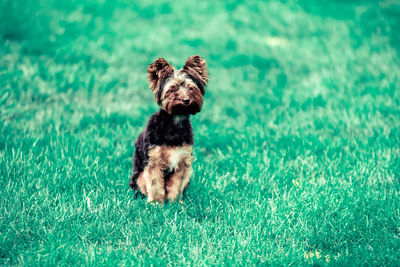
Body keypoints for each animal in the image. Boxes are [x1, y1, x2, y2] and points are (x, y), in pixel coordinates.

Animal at [129, 56, 209, 203]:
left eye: (190, 88)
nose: (186, 100)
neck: (174, 124)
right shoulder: (154, 161)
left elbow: (176, 185)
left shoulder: (182, 162)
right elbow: (155, 184)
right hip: (139, 176)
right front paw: (156, 203)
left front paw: (175, 203)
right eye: (172, 89)